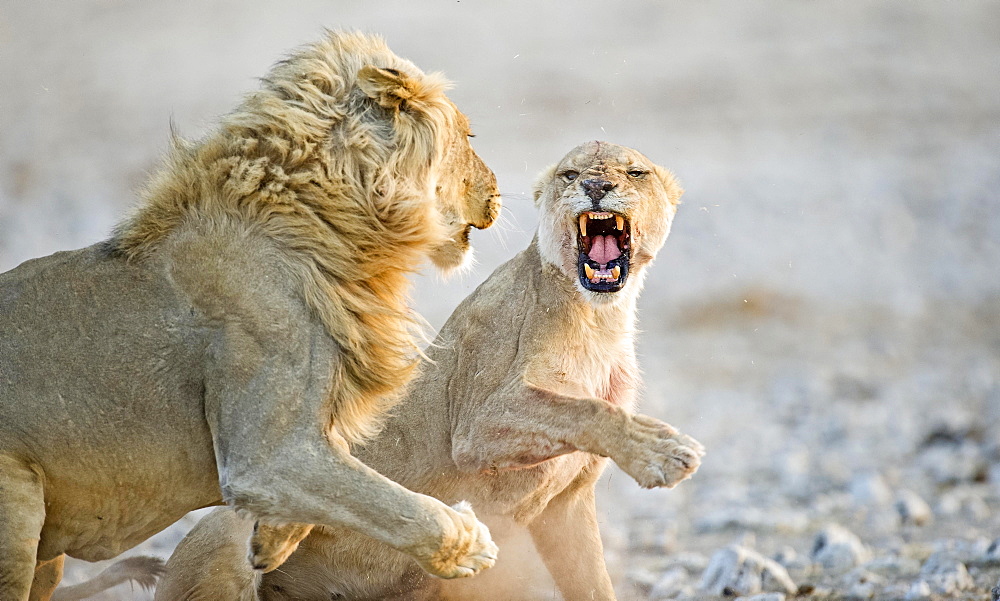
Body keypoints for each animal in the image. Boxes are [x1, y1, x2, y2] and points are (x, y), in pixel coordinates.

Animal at [0, 32, 500, 600]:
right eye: (469, 135)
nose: (497, 191)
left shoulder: (292, 449)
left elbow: (346, 487)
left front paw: (271, 541)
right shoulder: (261, 456)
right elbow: (396, 504)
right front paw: (471, 542)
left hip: (48, 556)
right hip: (18, 513)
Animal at [154, 142, 704, 600]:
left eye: (635, 172)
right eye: (570, 174)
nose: (595, 187)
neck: (600, 318)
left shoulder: (566, 504)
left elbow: (592, 583)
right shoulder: (479, 422)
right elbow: (578, 409)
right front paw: (663, 451)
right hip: (223, 538)